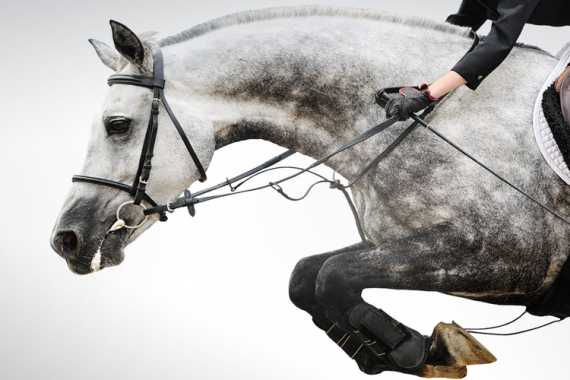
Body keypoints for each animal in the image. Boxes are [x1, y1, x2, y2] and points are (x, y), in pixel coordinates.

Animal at [51, 5, 564, 378]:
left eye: (118, 125)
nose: (66, 240)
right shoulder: (401, 244)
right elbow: (307, 276)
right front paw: (390, 348)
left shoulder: (502, 257)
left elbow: (333, 275)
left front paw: (416, 348)